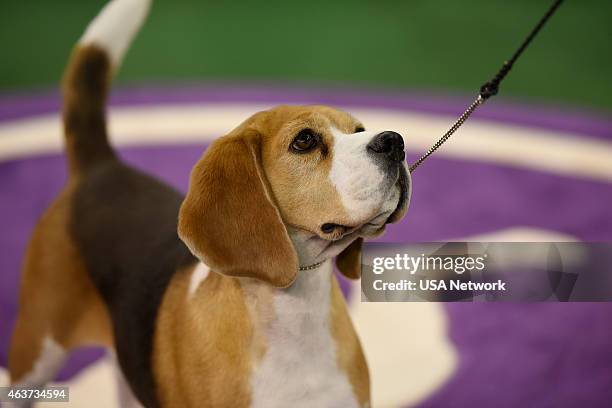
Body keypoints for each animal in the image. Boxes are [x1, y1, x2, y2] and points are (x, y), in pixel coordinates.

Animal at [7, 0, 412, 408]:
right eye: (305, 140)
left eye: (359, 130)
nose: (394, 141)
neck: (295, 309)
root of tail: (100, 165)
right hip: (35, 353)